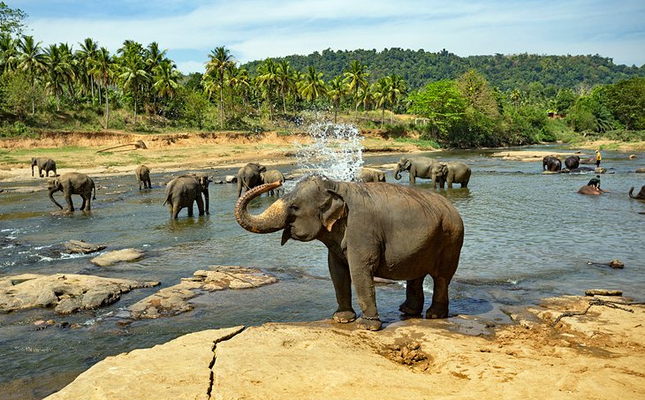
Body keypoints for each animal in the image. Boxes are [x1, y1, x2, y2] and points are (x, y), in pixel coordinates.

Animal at [235, 176, 462, 332]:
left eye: (295, 207)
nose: (277, 180)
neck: (335, 185)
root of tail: (453, 207)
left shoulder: (362, 229)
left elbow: (359, 270)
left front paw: (366, 327)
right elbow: (336, 270)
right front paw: (342, 319)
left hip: (451, 239)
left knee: (441, 277)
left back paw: (434, 315)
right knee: (416, 275)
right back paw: (407, 311)